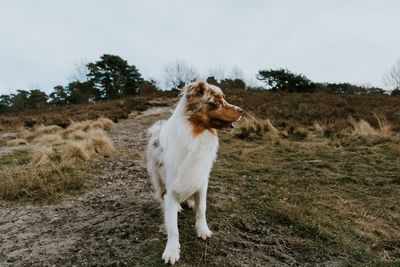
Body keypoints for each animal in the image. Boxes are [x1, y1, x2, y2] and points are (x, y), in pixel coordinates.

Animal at [145, 80, 242, 264]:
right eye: (217, 101)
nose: (242, 111)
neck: (196, 135)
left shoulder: (201, 179)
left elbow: (202, 208)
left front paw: (203, 230)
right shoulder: (170, 187)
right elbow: (172, 226)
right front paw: (172, 250)